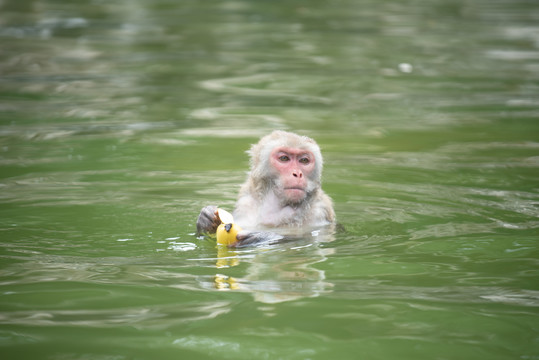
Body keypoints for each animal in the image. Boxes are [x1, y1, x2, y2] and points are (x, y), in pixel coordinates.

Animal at [196, 131, 336, 246]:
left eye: (304, 160)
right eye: (284, 158)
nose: (297, 173)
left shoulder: (319, 211)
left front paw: (263, 237)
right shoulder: (246, 202)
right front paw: (206, 218)